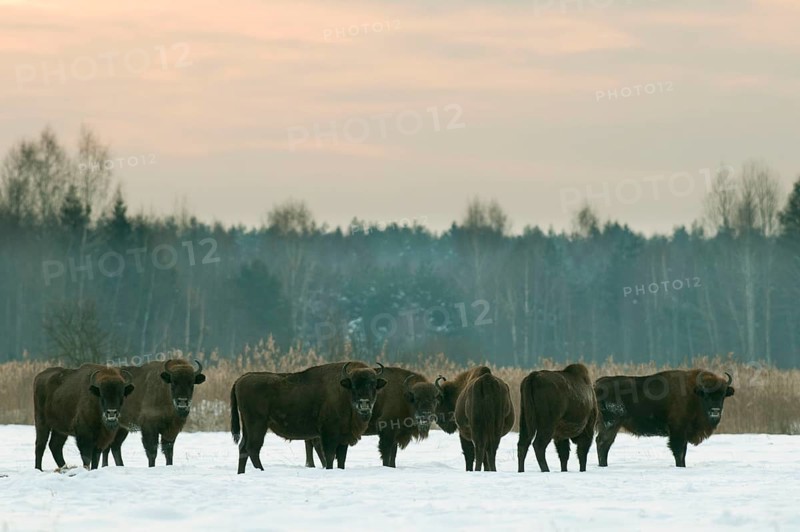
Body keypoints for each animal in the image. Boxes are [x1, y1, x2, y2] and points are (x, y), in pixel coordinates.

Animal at [231, 361, 387, 474]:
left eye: (373, 384)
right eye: (353, 385)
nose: (364, 403)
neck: (343, 390)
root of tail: (240, 379)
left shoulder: (344, 438)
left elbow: (341, 459)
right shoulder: (329, 434)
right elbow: (329, 456)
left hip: (248, 426)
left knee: (243, 448)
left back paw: (242, 473)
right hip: (257, 425)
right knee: (253, 448)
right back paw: (261, 471)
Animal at [305, 367, 443, 468]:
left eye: (434, 399)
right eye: (416, 399)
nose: (426, 414)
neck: (403, 395)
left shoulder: (395, 435)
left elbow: (393, 454)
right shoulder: (387, 432)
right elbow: (386, 453)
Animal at [594, 369, 735, 467]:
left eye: (723, 394)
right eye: (706, 395)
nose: (715, 411)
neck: (694, 393)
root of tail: (597, 384)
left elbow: (683, 452)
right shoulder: (677, 430)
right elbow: (679, 451)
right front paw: (681, 466)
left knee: (605, 444)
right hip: (611, 423)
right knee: (602, 443)